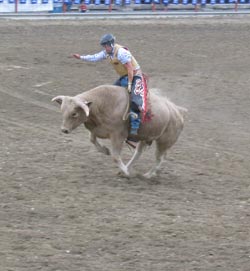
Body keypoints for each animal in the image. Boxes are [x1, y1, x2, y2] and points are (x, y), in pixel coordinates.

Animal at [51, 85, 187, 178]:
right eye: (62, 110)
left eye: (74, 113)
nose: (64, 130)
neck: (103, 104)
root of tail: (178, 111)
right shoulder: (96, 129)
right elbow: (92, 139)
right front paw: (105, 150)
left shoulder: (118, 136)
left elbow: (115, 156)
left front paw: (126, 173)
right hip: (145, 137)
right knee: (138, 153)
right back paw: (128, 168)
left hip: (164, 142)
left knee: (160, 159)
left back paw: (148, 174)